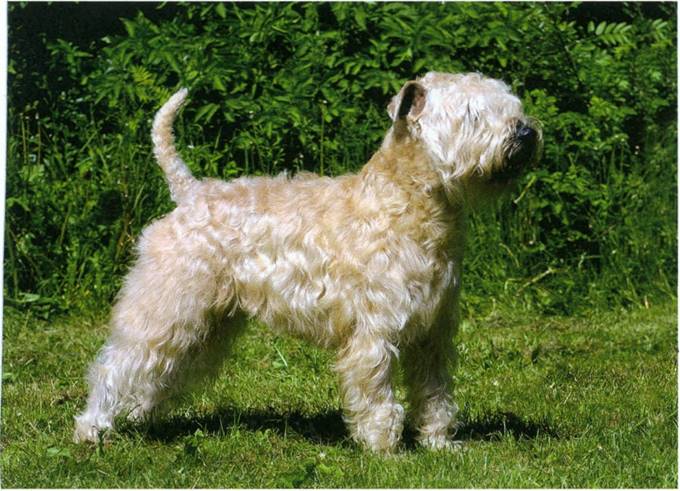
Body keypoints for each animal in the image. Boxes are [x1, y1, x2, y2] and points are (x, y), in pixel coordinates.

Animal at [74, 72, 540, 454]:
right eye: (472, 113)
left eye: (509, 103)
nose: (526, 131)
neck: (410, 205)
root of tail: (189, 193)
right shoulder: (375, 332)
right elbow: (377, 394)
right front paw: (384, 449)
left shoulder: (434, 333)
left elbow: (435, 394)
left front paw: (441, 444)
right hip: (165, 308)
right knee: (116, 366)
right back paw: (92, 429)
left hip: (205, 323)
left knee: (160, 371)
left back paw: (138, 419)